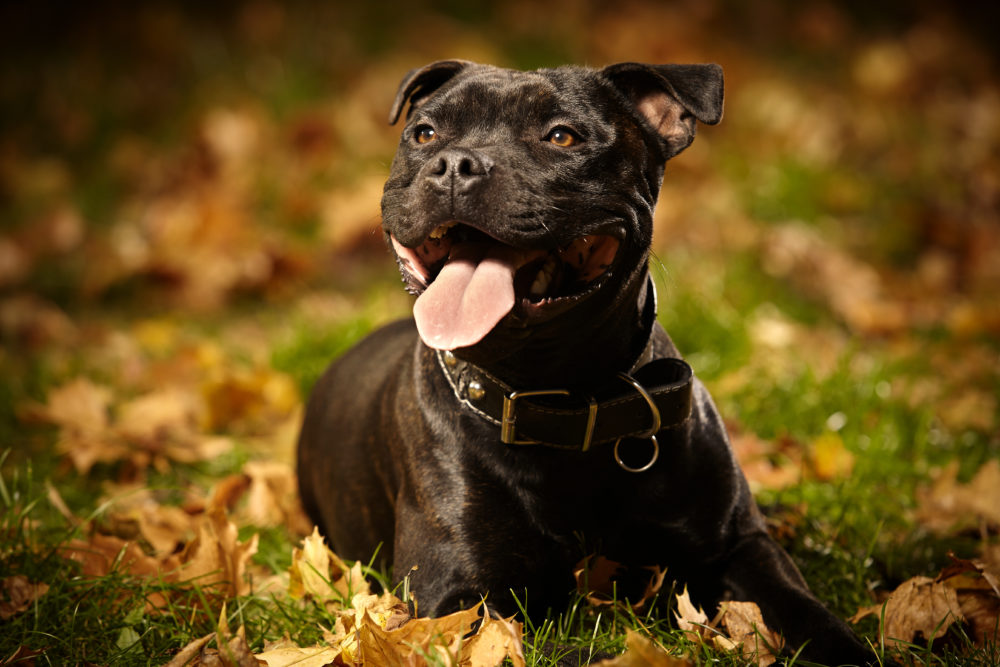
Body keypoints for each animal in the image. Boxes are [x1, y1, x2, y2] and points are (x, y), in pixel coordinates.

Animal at [298, 60, 876, 664]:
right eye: (425, 133)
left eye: (562, 137)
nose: (455, 164)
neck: (560, 397)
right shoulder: (458, 605)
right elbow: (575, 652)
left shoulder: (738, 549)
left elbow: (807, 613)